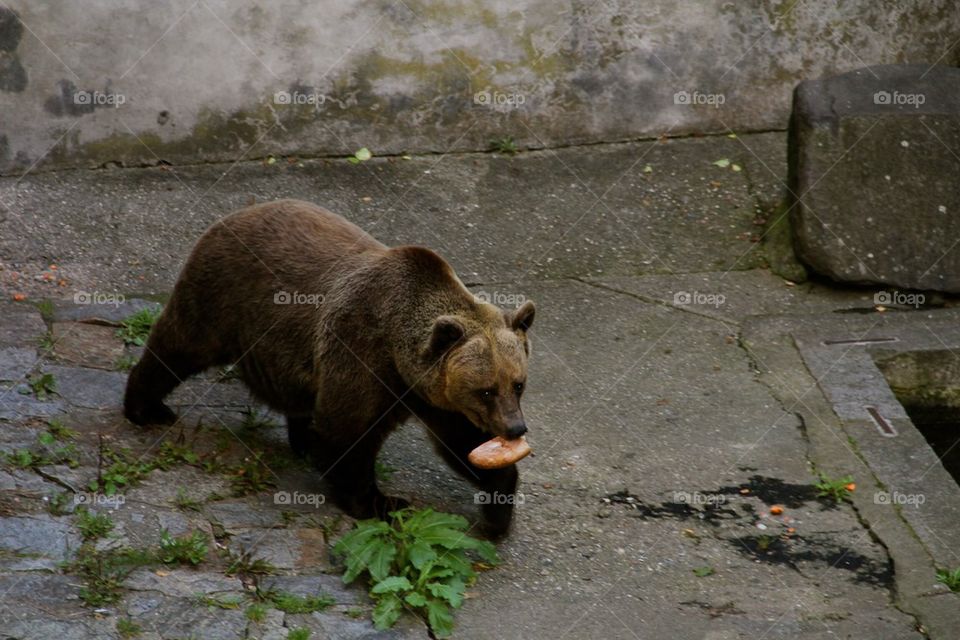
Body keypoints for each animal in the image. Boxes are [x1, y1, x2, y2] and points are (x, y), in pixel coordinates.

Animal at [123, 199, 535, 536]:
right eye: (486, 389)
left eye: (517, 384)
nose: (515, 427)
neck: (398, 355)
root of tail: (239, 212)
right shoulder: (362, 352)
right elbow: (348, 431)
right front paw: (380, 502)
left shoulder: (429, 393)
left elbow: (460, 443)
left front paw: (497, 507)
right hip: (222, 293)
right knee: (179, 344)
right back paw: (146, 407)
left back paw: (304, 440)